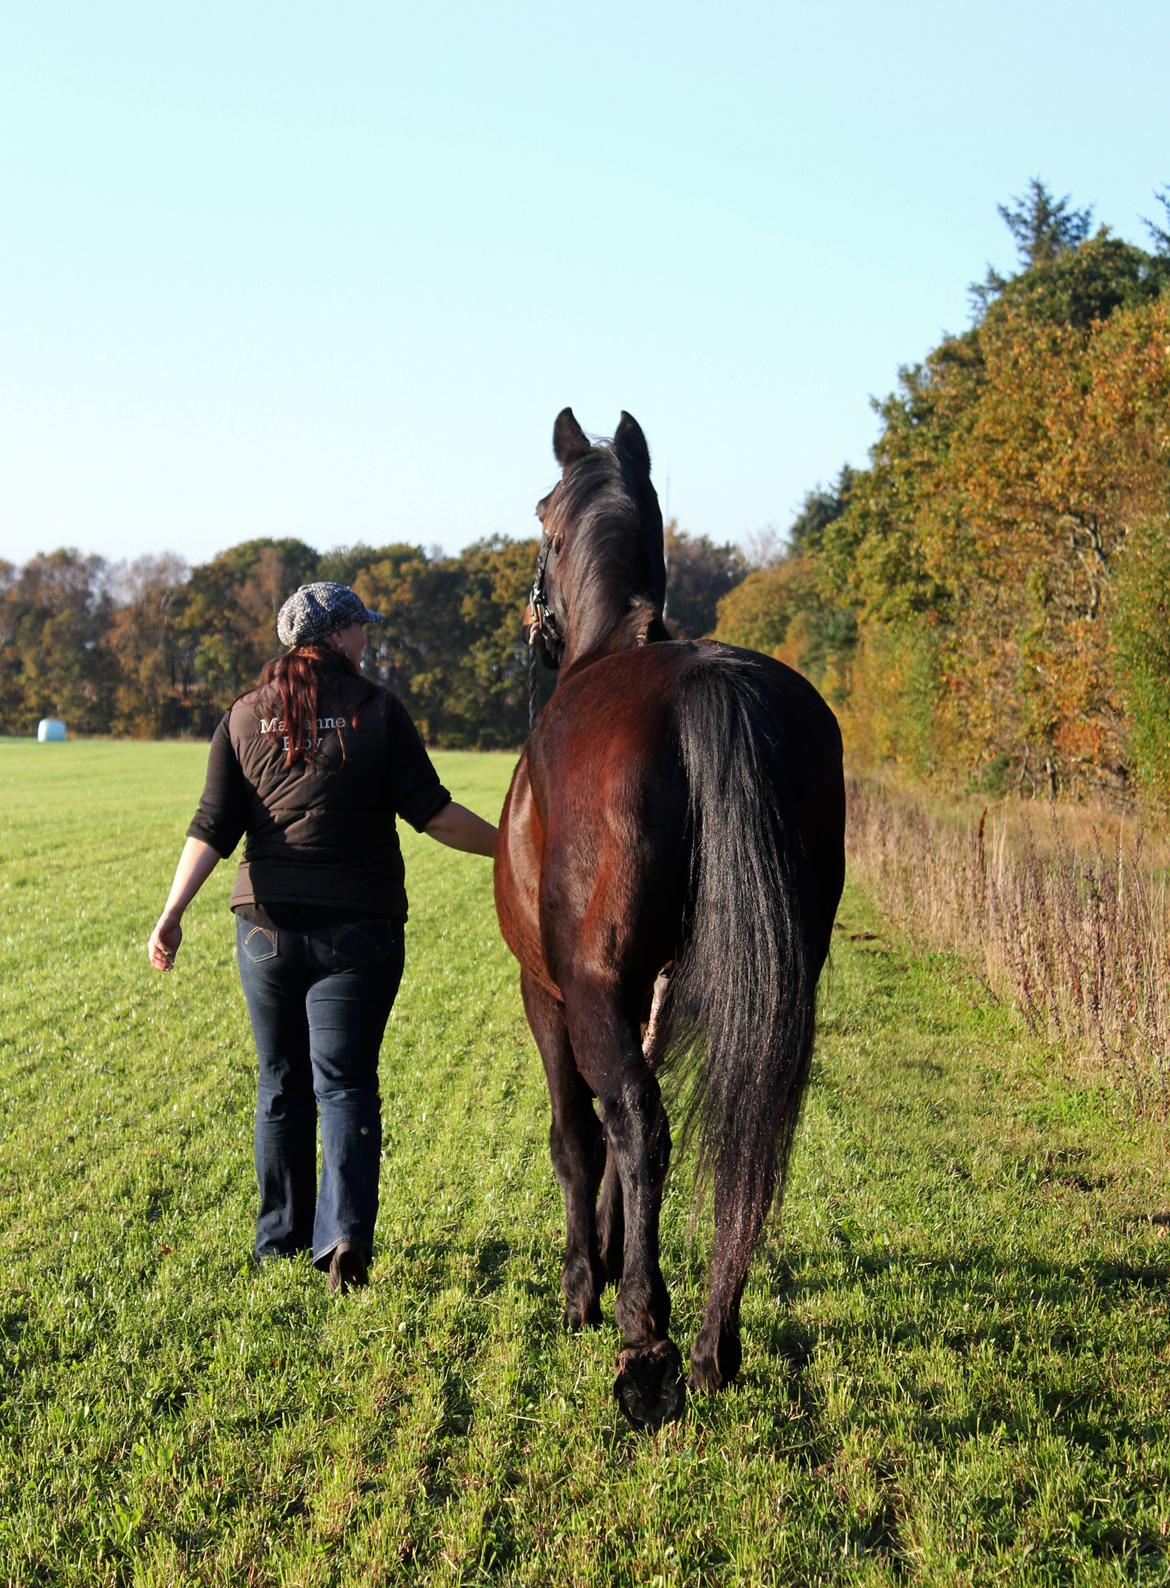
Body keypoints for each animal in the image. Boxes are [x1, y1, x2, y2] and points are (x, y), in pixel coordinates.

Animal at [492, 406, 838, 1429]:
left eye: (539, 512)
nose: (531, 625)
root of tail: (705, 685)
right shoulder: (651, 988)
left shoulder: (549, 991)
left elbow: (579, 1138)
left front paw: (585, 1284)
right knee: (749, 1138)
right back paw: (714, 1345)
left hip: (590, 988)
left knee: (640, 1122)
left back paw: (645, 1348)